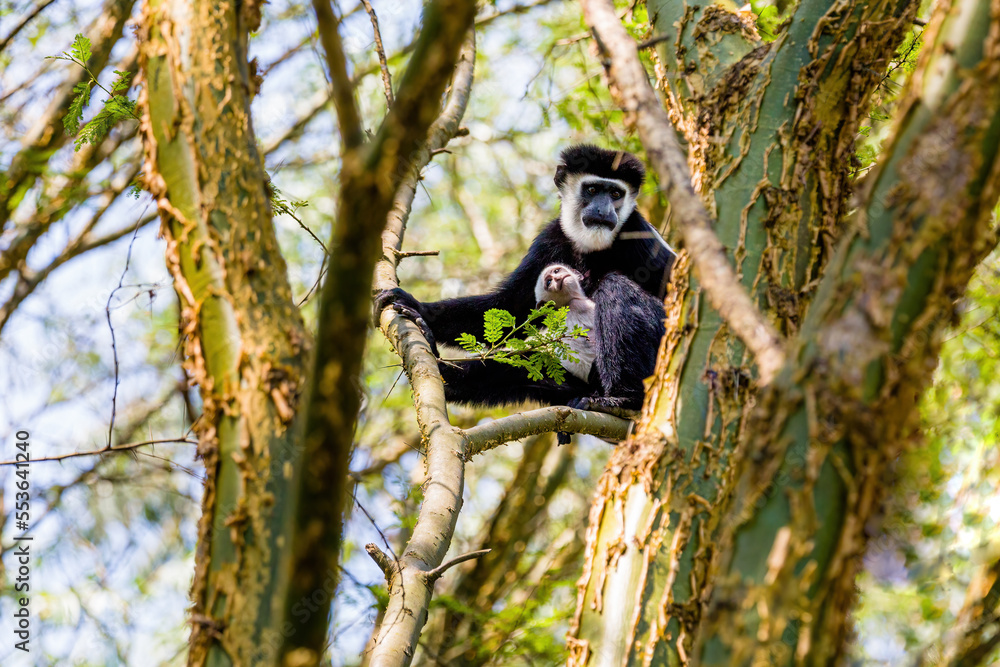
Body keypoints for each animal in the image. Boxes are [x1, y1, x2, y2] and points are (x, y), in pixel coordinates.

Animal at [375, 144, 673, 412]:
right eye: (591, 190)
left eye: (615, 193)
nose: (603, 210)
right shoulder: (551, 238)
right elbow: (511, 306)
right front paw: (415, 306)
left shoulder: (638, 233)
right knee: (520, 366)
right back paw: (442, 368)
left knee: (616, 288)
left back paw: (623, 399)